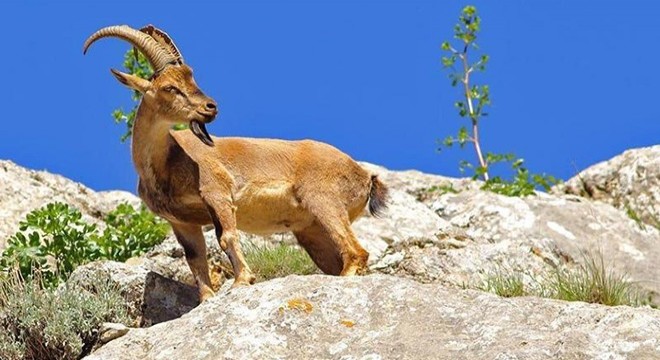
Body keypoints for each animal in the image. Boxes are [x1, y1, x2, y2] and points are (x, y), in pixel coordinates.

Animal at [85, 24, 390, 300]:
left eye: (191, 80)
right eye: (170, 87)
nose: (210, 107)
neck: (167, 163)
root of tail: (365, 176)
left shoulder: (217, 193)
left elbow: (227, 236)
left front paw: (243, 280)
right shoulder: (182, 222)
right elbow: (195, 257)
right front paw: (206, 299)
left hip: (323, 200)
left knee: (357, 252)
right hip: (312, 232)